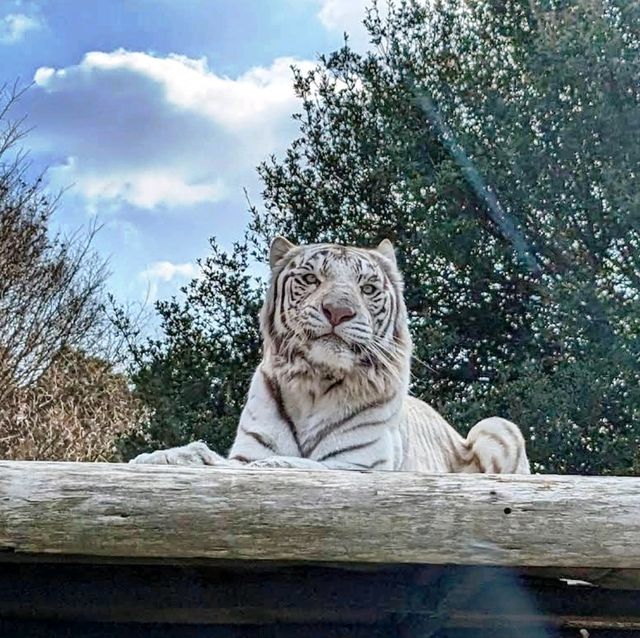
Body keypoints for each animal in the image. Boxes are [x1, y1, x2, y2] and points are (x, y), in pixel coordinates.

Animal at [131, 239, 528, 476]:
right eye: (310, 279)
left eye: (368, 288)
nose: (338, 310)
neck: (314, 383)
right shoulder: (249, 450)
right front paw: (162, 456)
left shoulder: (354, 466)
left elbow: (289, 465)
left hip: (495, 426)